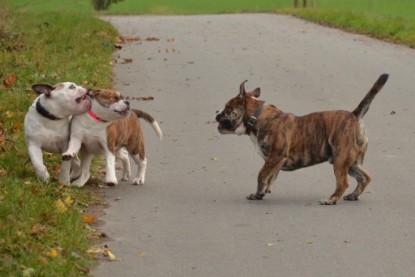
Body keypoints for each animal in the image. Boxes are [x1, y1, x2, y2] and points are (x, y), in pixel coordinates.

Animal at [218, 74, 390, 204]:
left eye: (227, 108)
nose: (216, 112)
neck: (257, 115)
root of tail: (354, 115)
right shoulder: (275, 160)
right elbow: (269, 176)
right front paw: (260, 193)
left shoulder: (276, 156)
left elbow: (262, 175)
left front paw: (259, 193)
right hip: (351, 162)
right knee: (365, 177)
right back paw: (353, 195)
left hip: (341, 160)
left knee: (343, 183)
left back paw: (331, 199)